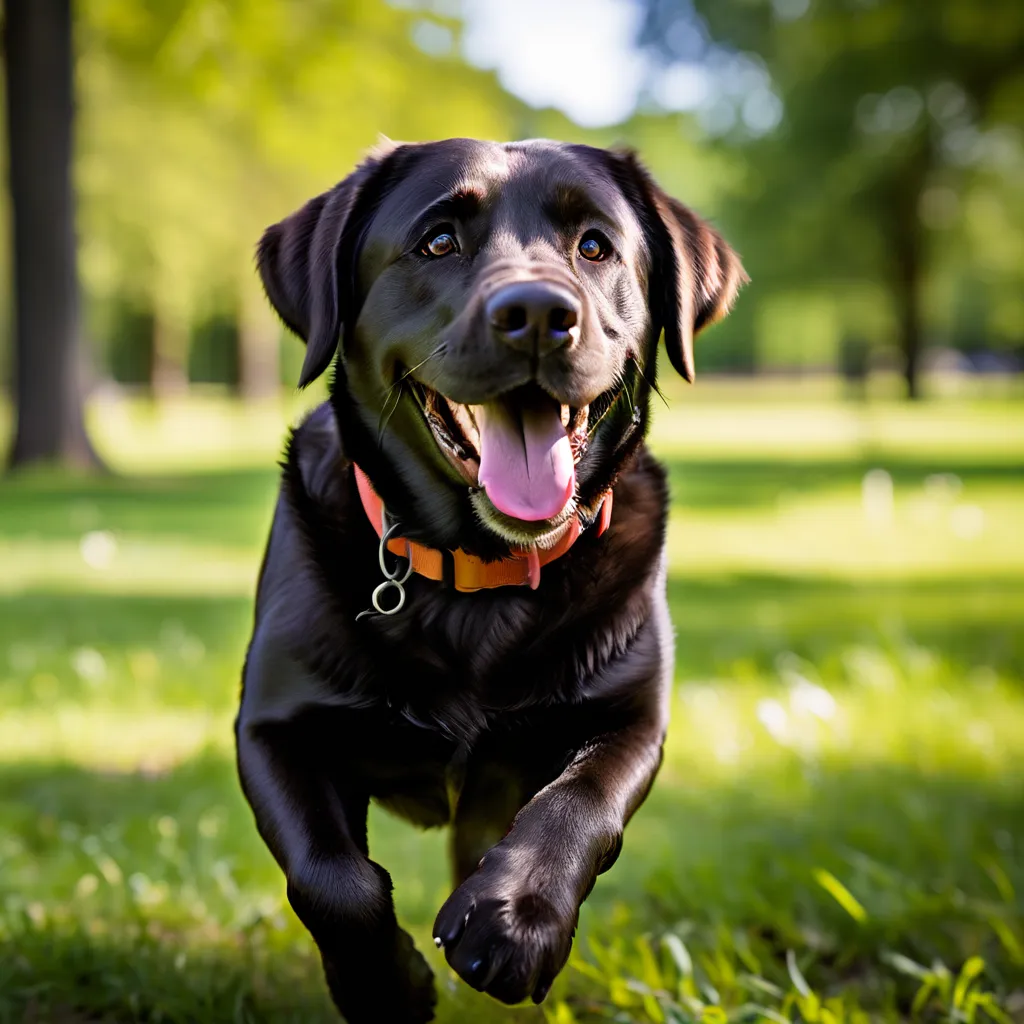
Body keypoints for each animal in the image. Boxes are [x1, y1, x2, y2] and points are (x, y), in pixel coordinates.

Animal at [238, 138, 745, 1024]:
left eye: (595, 245)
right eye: (439, 240)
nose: (538, 313)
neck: (478, 575)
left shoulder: (631, 721)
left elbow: (576, 805)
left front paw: (513, 921)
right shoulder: (270, 729)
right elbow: (330, 879)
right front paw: (389, 985)